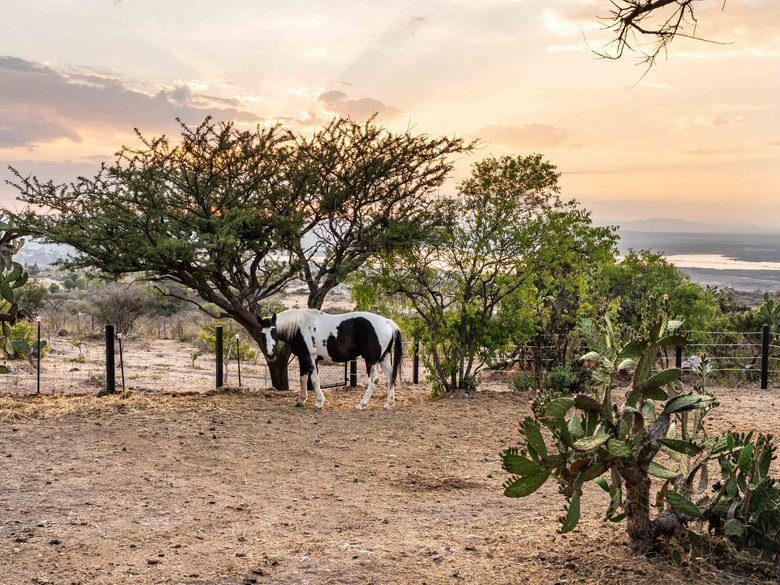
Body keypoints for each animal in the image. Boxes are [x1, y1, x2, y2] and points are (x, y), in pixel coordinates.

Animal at [257, 309, 403, 411]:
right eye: (262, 334)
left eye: (274, 331)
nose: (270, 354)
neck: (300, 326)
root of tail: (387, 322)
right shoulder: (303, 357)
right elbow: (303, 379)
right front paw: (301, 401)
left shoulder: (311, 358)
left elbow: (314, 379)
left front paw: (318, 402)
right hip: (383, 358)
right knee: (390, 377)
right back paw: (388, 404)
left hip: (371, 361)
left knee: (374, 380)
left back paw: (361, 405)